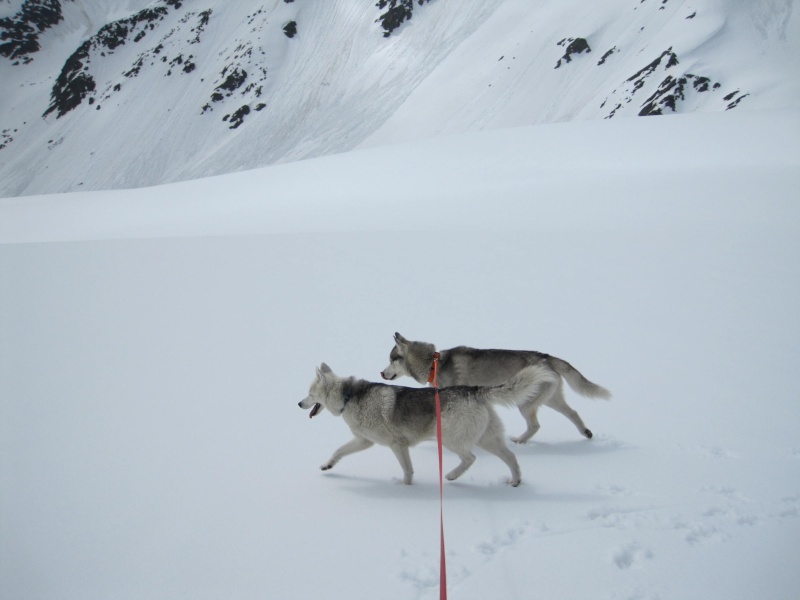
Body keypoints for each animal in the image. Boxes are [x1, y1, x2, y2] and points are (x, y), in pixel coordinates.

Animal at [298, 364, 556, 486]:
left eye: (310, 393)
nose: (299, 403)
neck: (349, 396)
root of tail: (474, 390)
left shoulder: (397, 445)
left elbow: (407, 470)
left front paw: (405, 487)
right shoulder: (364, 441)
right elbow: (339, 451)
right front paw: (327, 465)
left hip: (453, 440)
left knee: (470, 458)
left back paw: (451, 476)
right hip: (487, 439)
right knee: (511, 457)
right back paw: (515, 481)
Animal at [382, 336, 612, 442]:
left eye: (391, 360)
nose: (381, 373)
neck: (433, 363)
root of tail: (547, 357)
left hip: (526, 403)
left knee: (535, 425)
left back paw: (519, 441)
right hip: (552, 398)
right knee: (573, 412)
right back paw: (586, 432)